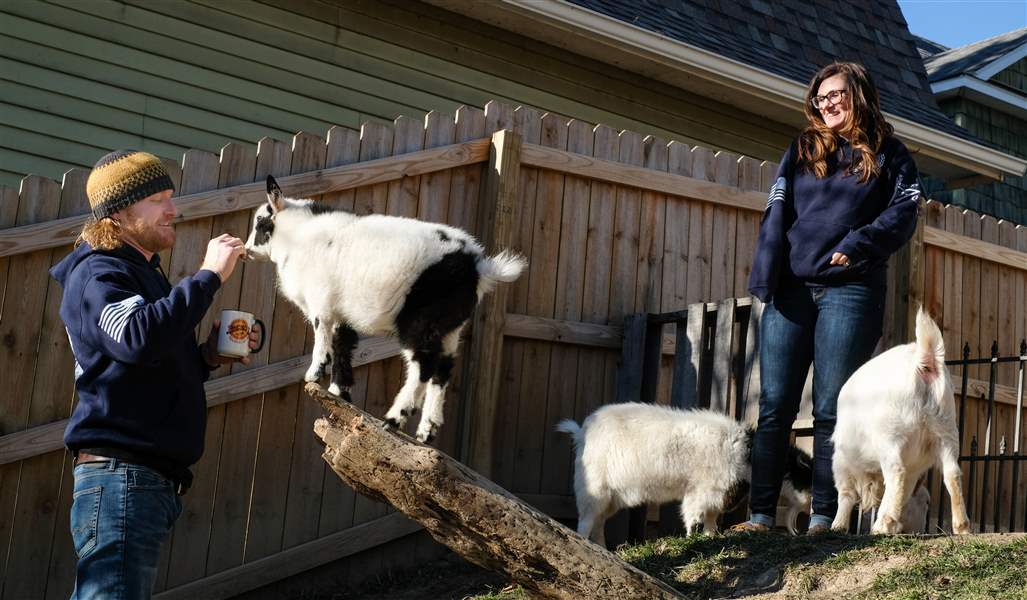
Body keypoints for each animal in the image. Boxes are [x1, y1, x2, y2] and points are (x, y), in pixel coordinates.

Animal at [244, 175, 526, 443]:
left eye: (261, 223)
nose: (246, 251)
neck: (298, 236)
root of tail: (476, 267)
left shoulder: (321, 304)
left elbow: (323, 340)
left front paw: (314, 375)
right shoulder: (341, 312)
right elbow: (343, 344)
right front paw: (339, 392)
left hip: (420, 321)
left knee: (424, 364)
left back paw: (394, 418)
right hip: (448, 326)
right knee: (443, 369)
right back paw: (427, 430)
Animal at [830, 308, 970, 535]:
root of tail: (925, 361)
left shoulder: (841, 462)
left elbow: (846, 494)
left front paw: (838, 526)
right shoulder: (916, 468)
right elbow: (903, 493)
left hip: (890, 433)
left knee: (896, 471)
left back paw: (880, 525)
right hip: (946, 429)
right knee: (952, 473)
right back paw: (962, 527)